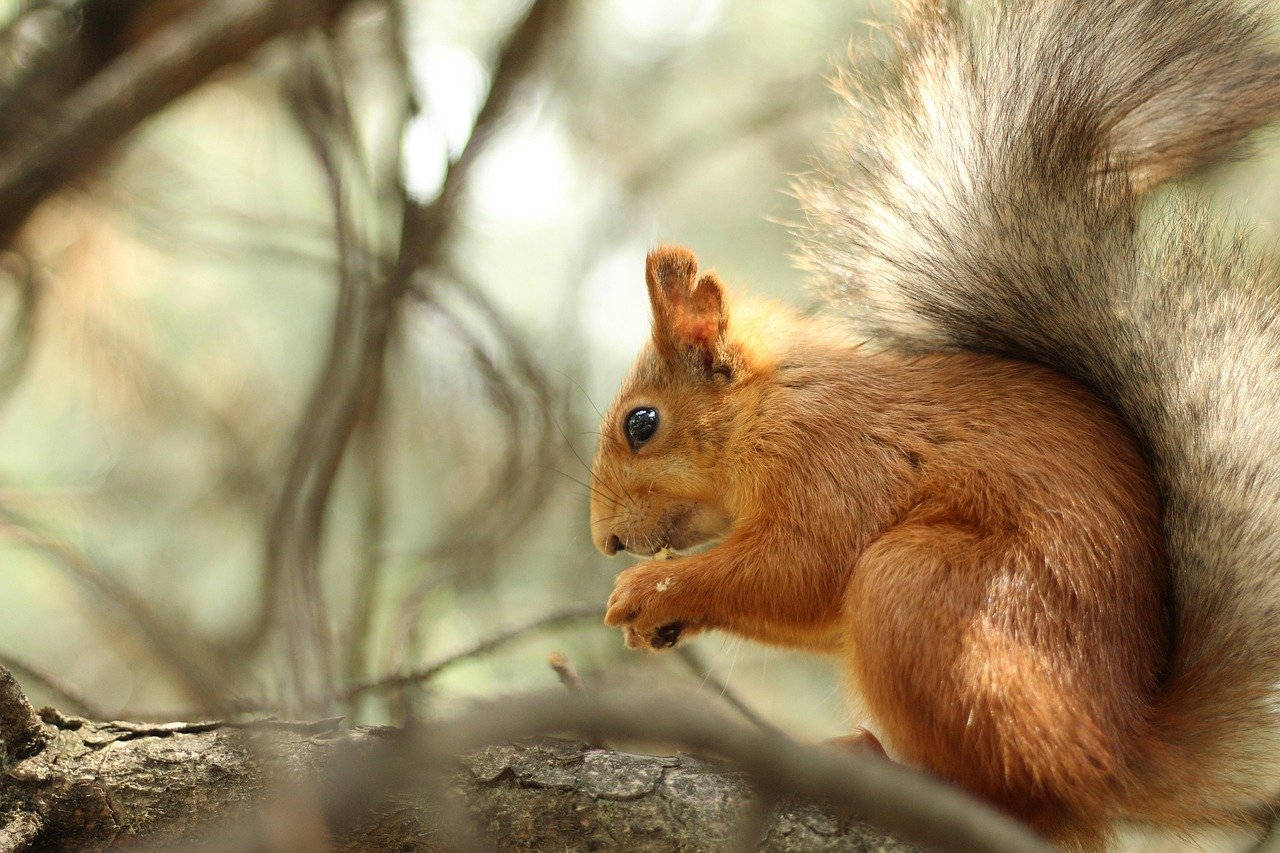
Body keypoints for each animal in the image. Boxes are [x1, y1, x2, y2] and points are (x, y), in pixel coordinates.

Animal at [590, 0, 1280, 848]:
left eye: (642, 423)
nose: (605, 540)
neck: (770, 406)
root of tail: (1116, 752)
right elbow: (806, 607)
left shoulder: (834, 459)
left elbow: (799, 566)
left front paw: (651, 587)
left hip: (925, 592)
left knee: (1015, 794)